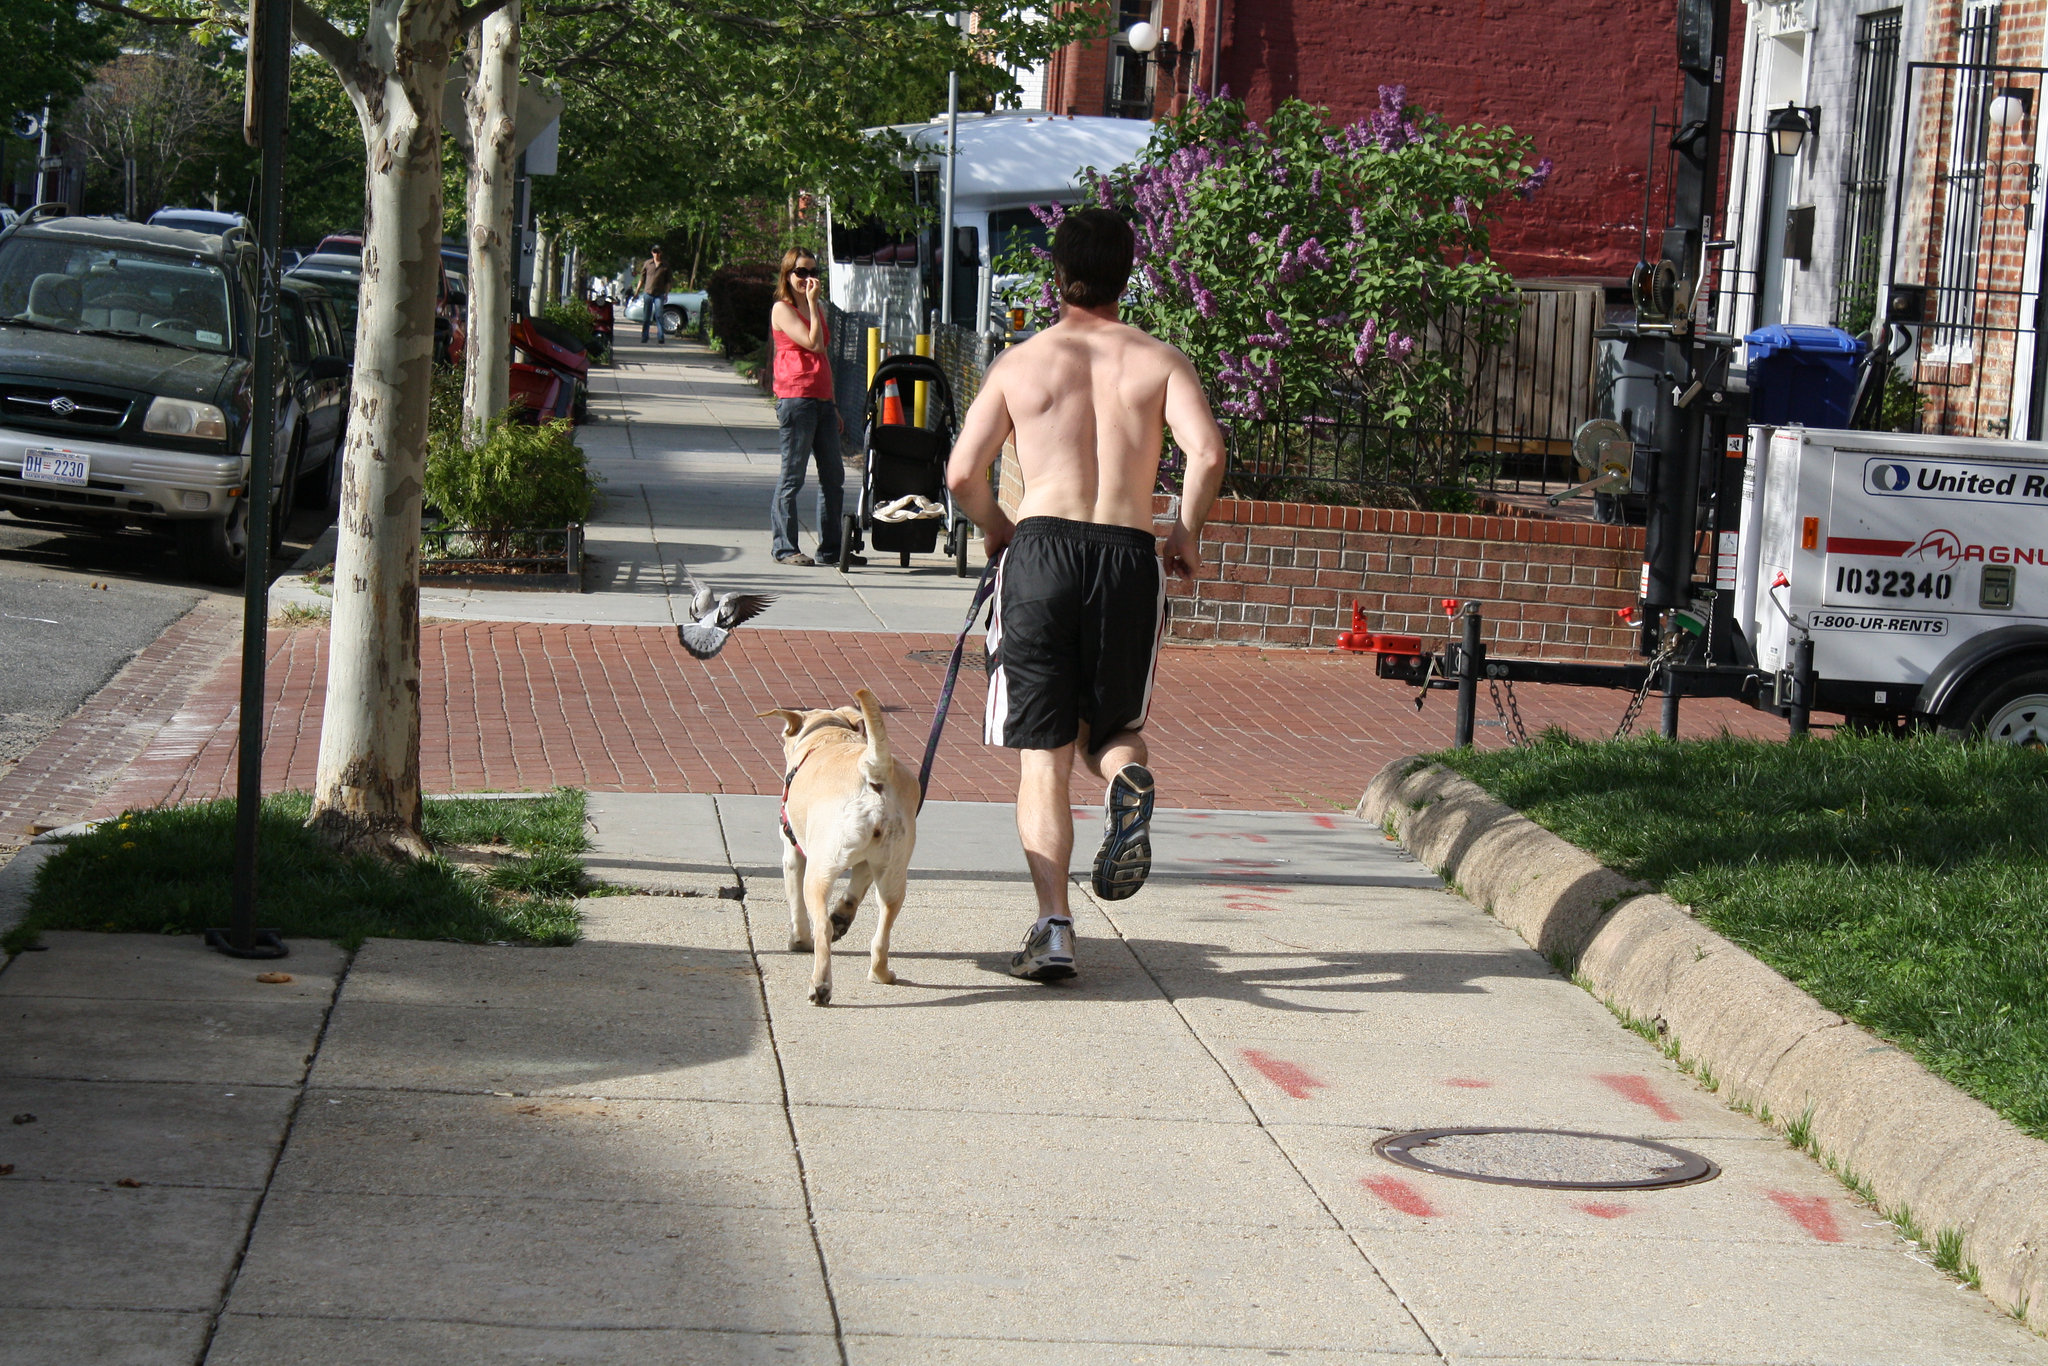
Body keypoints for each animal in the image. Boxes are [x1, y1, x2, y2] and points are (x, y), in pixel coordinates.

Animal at [757, 696, 917, 1003]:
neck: (828, 735)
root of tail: (873, 771)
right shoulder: (868, 862)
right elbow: (854, 893)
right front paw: (843, 914)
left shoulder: (793, 854)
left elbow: (797, 908)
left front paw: (798, 942)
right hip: (893, 872)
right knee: (883, 928)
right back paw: (880, 974)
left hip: (819, 872)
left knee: (821, 926)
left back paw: (820, 986)